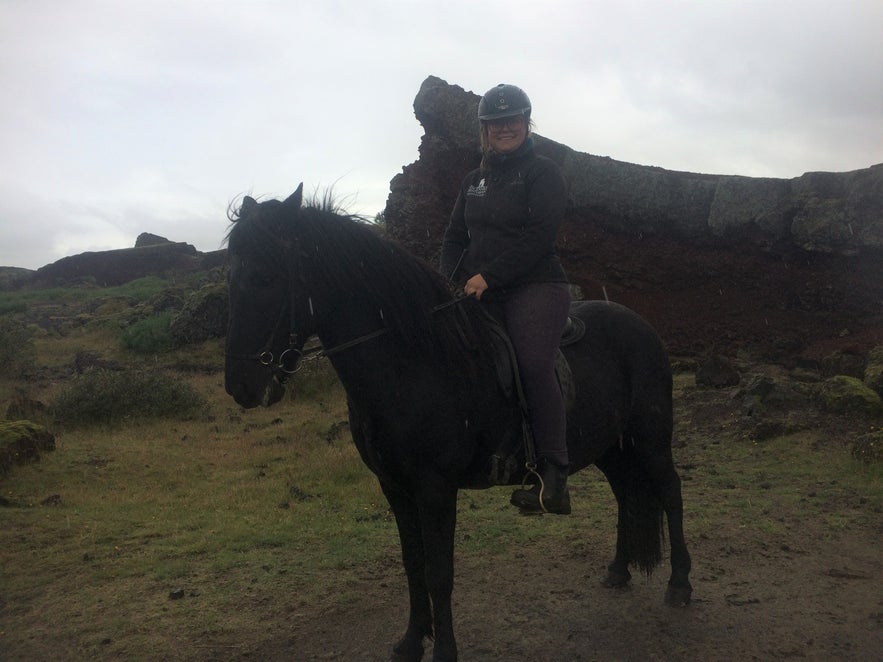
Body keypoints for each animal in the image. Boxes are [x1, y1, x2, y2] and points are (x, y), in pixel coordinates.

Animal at [221, 185, 692, 662]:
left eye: (265, 277)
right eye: (231, 278)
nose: (240, 384)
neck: (413, 362)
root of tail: (639, 324)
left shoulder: (435, 487)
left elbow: (439, 573)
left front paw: (444, 649)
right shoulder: (394, 486)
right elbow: (413, 565)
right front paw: (412, 641)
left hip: (650, 439)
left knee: (670, 492)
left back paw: (680, 585)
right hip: (609, 446)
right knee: (625, 494)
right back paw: (619, 570)